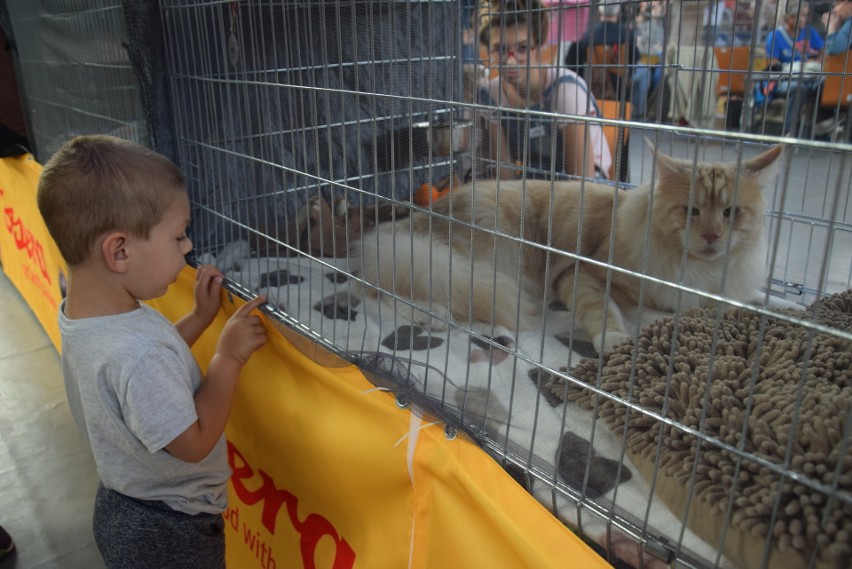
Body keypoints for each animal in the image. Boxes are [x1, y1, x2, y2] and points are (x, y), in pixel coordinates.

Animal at [352, 143, 784, 350]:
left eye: (730, 213)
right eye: (692, 211)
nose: (712, 237)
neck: (699, 273)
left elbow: (759, 301)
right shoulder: (582, 272)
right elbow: (603, 310)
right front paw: (615, 339)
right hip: (485, 259)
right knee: (381, 293)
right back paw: (433, 318)